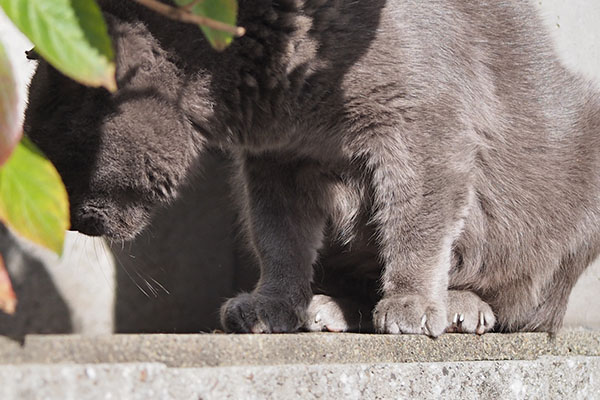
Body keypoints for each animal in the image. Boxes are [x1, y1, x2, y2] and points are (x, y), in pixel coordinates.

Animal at [23, 0, 600, 336]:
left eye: (51, 153)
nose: (68, 221)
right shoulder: (278, 160)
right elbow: (278, 236)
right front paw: (273, 303)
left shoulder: (426, 127)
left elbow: (417, 221)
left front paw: (412, 300)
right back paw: (327, 307)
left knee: (528, 307)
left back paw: (461, 304)